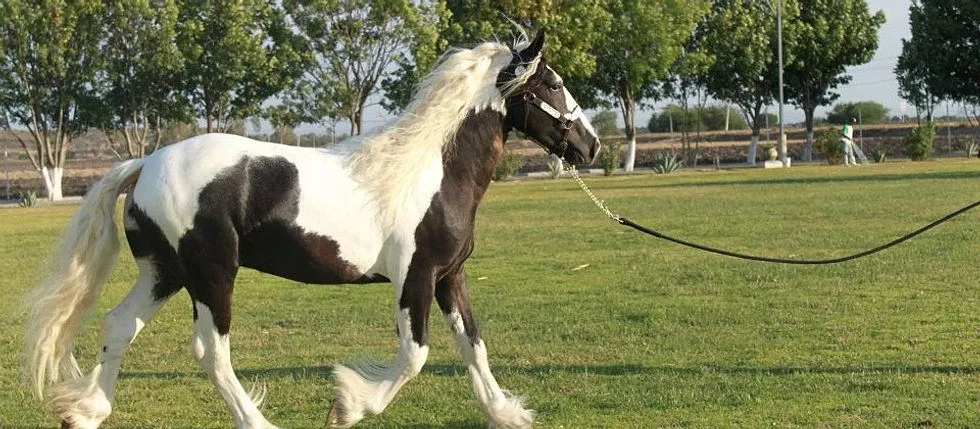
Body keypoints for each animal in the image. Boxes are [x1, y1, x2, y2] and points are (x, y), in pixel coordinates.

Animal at [23, 30, 600, 428]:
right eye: (552, 82)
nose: (589, 145)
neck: (429, 171)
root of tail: (145, 164)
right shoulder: (414, 278)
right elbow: (415, 356)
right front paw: (347, 406)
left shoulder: (448, 277)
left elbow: (472, 345)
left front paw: (507, 413)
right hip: (211, 276)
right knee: (212, 351)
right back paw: (256, 421)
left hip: (164, 272)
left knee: (120, 326)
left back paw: (85, 412)